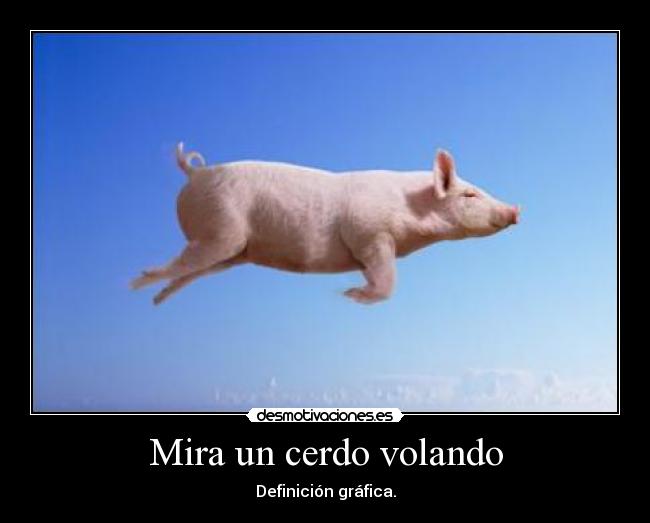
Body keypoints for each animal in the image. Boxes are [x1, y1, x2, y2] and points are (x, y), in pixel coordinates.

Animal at [131, 143, 520, 305]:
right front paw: (350, 295)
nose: (516, 210)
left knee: (191, 270)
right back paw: (138, 283)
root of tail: (195, 172)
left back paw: (156, 300)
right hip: (222, 226)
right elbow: (387, 280)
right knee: (183, 263)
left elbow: (377, 274)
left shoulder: (367, 247)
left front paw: (353, 291)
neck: (411, 206)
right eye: (469, 194)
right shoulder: (369, 232)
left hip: (231, 251)